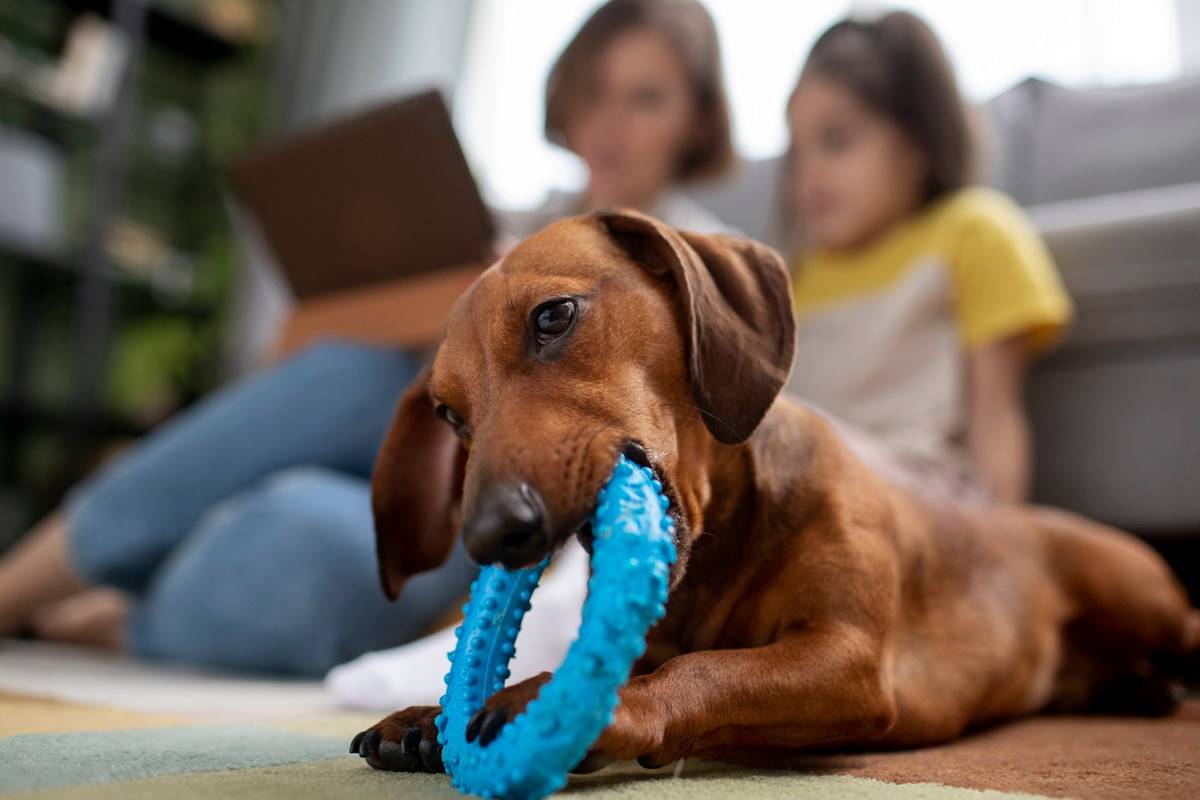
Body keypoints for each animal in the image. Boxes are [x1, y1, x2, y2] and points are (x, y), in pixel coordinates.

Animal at [350, 209, 1195, 772]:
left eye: (553, 315)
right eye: (449, 414)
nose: (491, 535)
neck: (723, 544)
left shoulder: (848, 660)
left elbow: (702, 671)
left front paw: (563, 703)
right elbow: (661, 660)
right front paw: (429, 715)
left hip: (1139, 598)